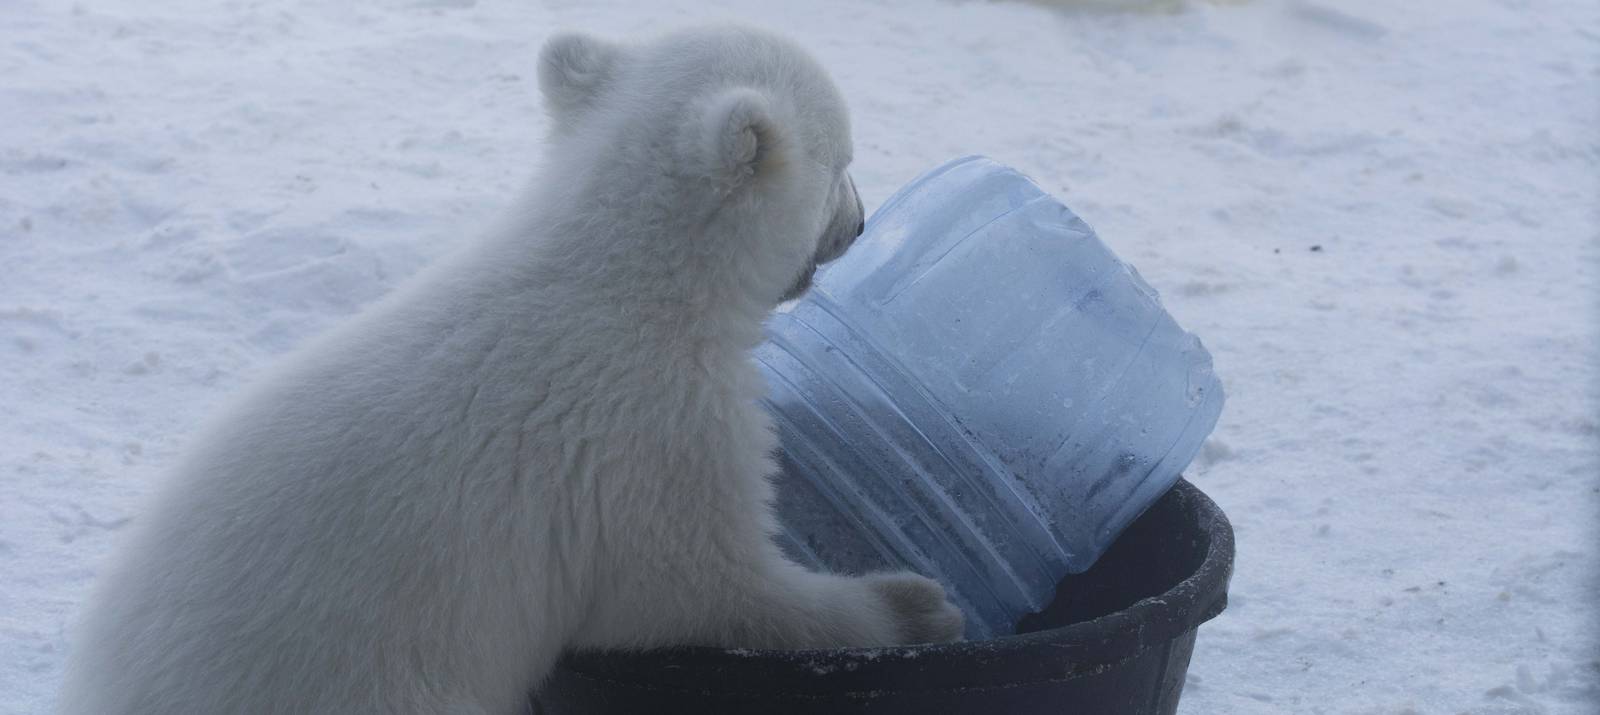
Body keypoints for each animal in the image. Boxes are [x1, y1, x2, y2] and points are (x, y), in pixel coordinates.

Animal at [58, 25, 963, 715]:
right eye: (842, 162)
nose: (860, 221)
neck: (617, 281)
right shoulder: (647, 442)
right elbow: (705, 588)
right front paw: (915, 605)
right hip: (377, 685)